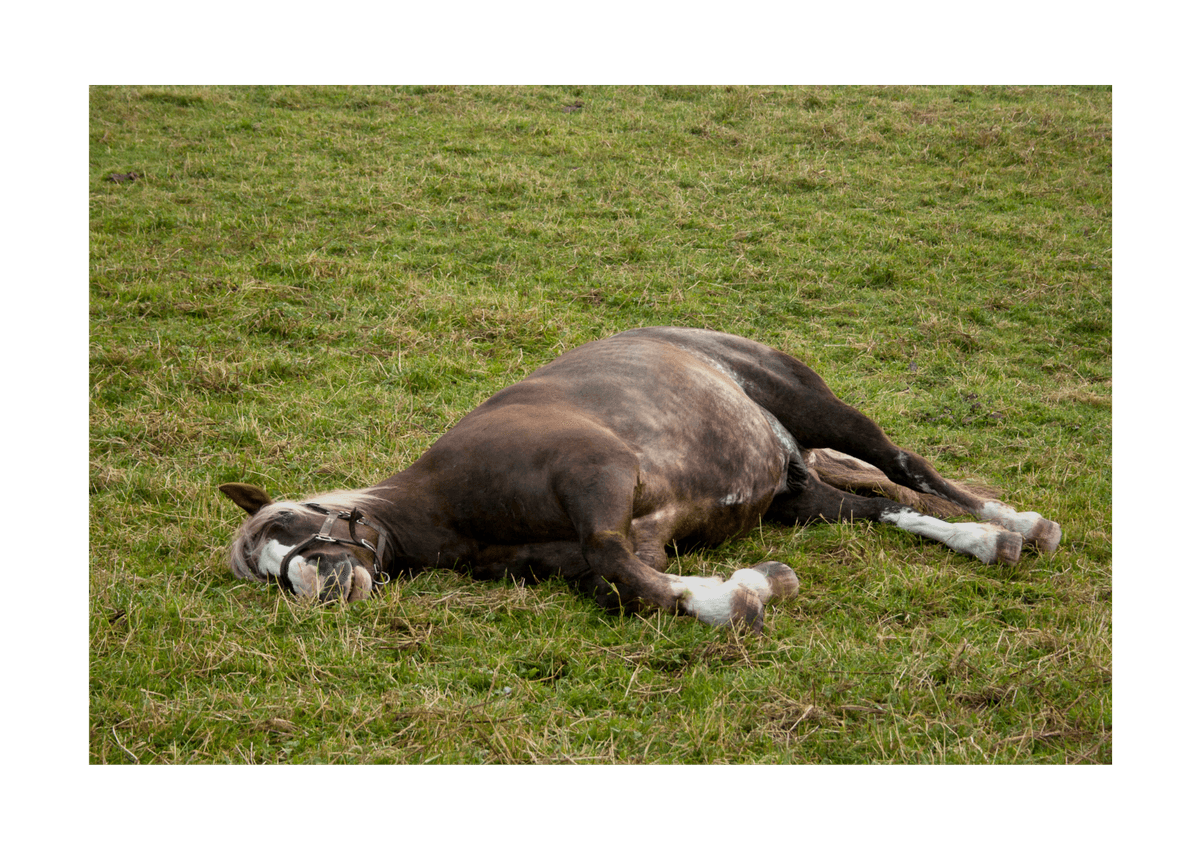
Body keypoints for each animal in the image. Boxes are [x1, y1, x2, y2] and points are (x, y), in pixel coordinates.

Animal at [218, 326, 1060, 628]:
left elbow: (616, 562)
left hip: (822, 412)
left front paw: (741, 596)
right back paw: (983, 539)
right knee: (884, 505)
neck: (449, 503)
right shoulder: (633, 538)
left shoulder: (603, 478)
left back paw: (1018, 522)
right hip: (799, 495)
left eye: (290, 521)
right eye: (262, 572)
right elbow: (628, 583)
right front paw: (748, 585)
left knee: (906, 466)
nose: (314, 585)